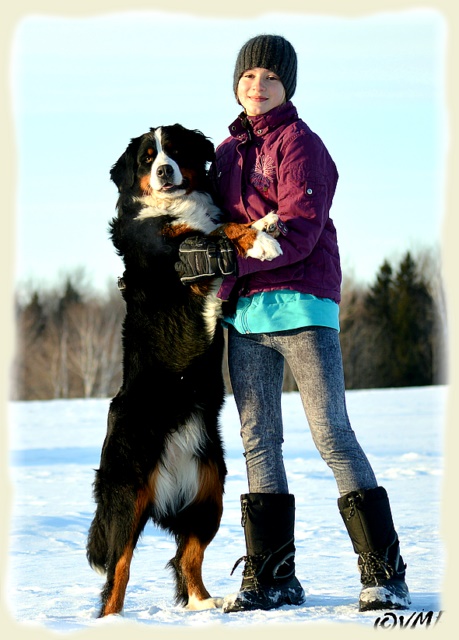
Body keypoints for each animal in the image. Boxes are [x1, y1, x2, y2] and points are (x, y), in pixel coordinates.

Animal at [84, 122, 282, 616]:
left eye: (173, 150)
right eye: (147, 157)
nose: (164, 171)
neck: (177, 205)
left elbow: (221, 223)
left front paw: (266, 222)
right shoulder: (178, 252)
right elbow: (219, 230)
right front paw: (263, 240)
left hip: (210, 493)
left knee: (185, 558)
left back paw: (206, 604)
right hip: (128, 495)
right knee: (118, 569)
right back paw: (111, 621)